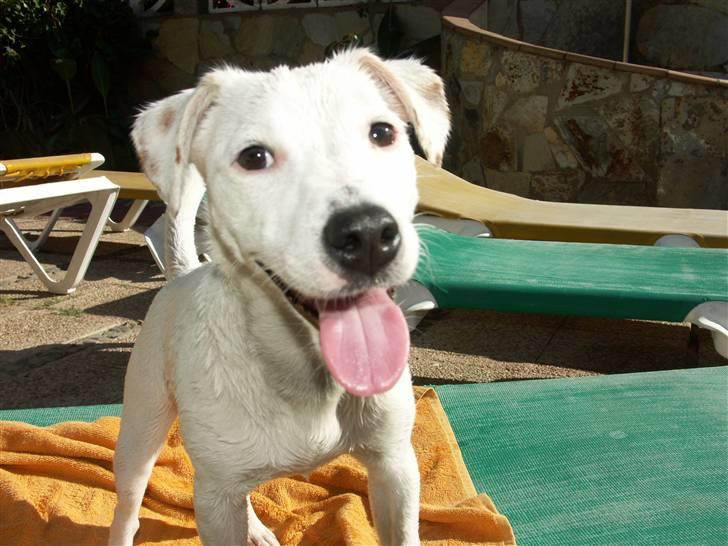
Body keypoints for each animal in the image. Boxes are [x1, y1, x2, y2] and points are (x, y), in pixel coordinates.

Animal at [109, 47, 450, 544]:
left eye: (382, 132)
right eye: (254, 157)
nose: (368, 235)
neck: (302, 372)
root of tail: (182, 275)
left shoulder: (395, 466)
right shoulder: (215, 501)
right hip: (141, 429)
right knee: (130, 506)